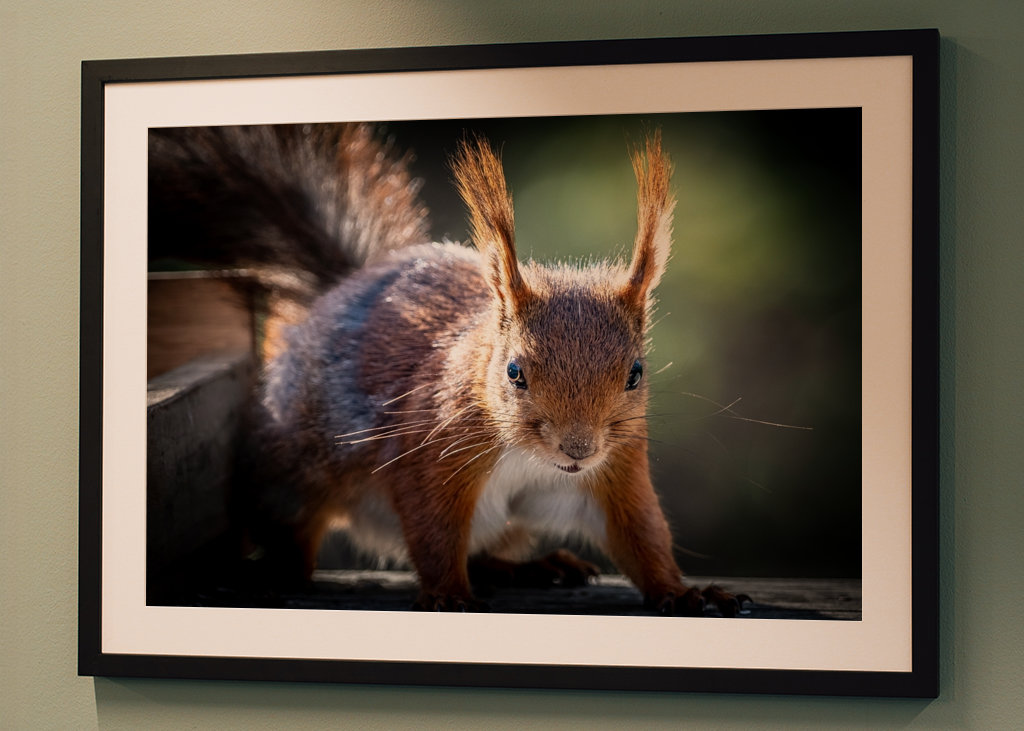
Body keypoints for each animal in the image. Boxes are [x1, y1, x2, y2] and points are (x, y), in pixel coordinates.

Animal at [148, 122, 747, 616]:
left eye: (635, 374)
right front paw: (447, 595)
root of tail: (335, 293)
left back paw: (536, 566)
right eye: (514, 372)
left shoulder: (617, 467)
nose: (577, 449)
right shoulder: (431, 449)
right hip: (293, 470)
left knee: (488, 550)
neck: (532, 458)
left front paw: (683, 592)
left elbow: (640, 536)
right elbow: (433, 527)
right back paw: (281, 573)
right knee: (292, 528)